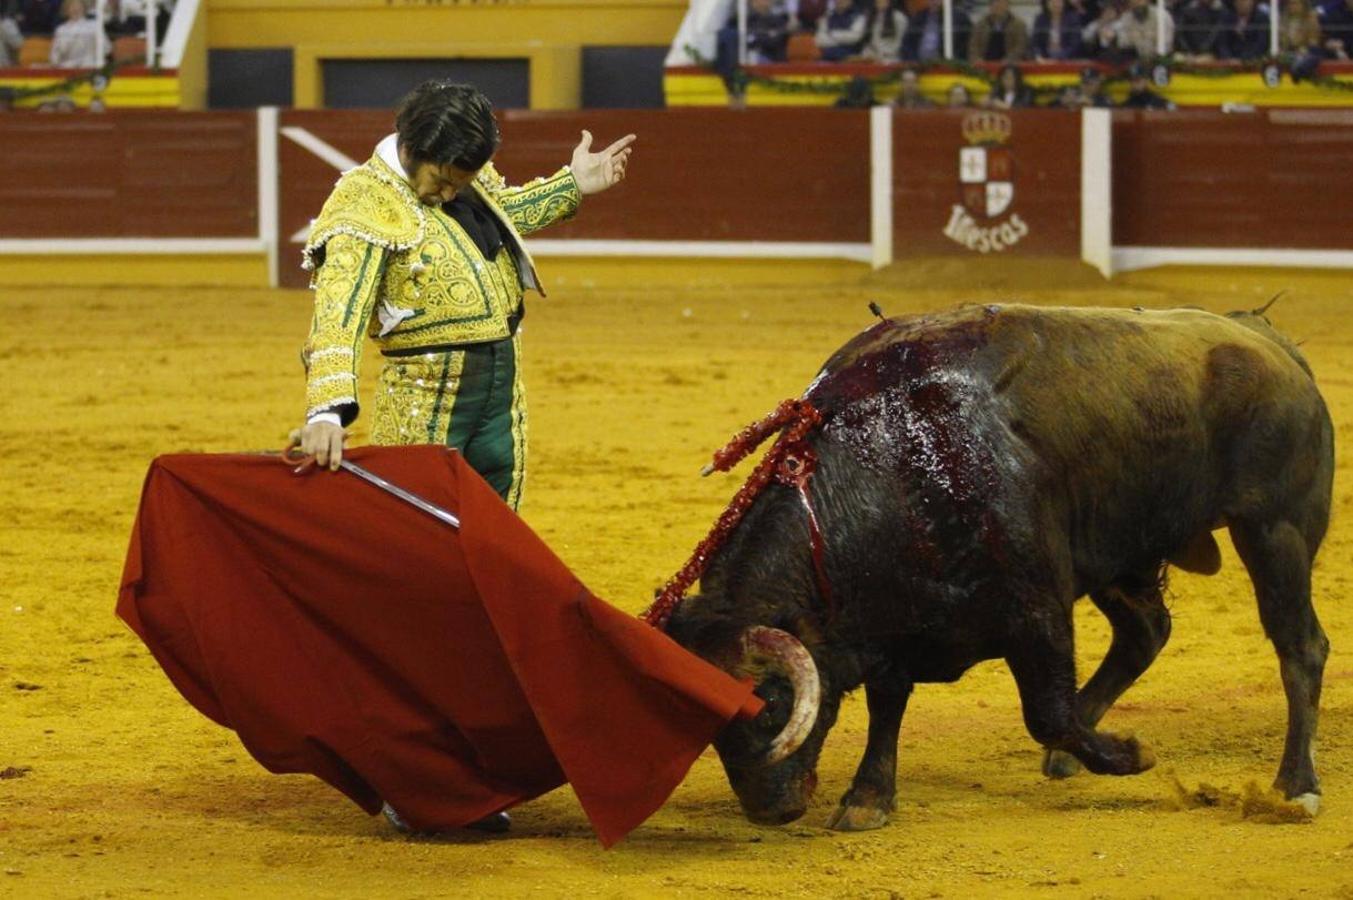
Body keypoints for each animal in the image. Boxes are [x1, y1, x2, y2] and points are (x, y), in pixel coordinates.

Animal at [665, 301, 1331, 828]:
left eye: (769, 703)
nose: (769, 811)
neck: (888, 464)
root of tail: (1272, 345)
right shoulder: (890, 619)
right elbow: (888, 703)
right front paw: (868, 798)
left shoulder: (1037, 608)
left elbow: (1047, 712)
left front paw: (1131, 755)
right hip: (1118, 548)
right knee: (1145, 632)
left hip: (1275, 531)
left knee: (1300, 646)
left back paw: (1295, 787)